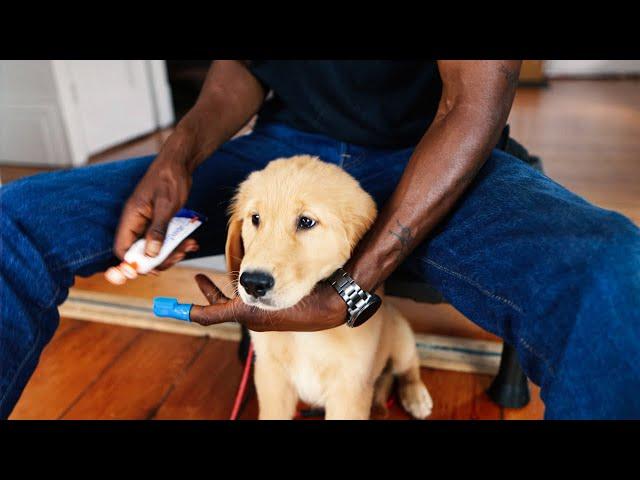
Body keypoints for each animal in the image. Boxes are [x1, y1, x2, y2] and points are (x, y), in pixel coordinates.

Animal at [224, 156, 430, 418]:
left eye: (306, 221)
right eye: (255, 218)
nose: (252, 283)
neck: (304, 336)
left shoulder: (349, 389)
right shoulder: (271, 376)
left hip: (400, 334)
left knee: (409, 365)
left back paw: (416, 395)